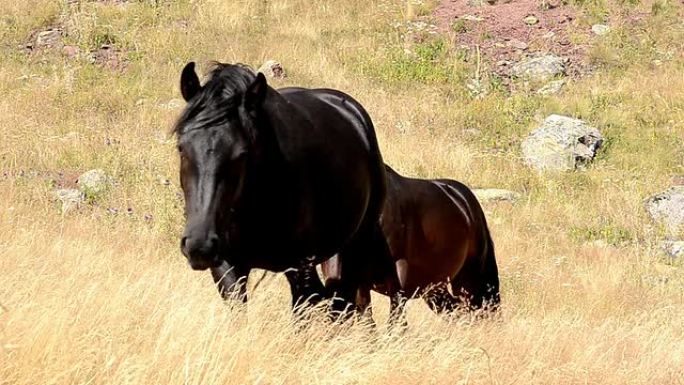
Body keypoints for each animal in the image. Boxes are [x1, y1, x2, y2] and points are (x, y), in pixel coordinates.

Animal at [174, 60, 388, 312]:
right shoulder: (227, 265)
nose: (199, 245)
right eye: (181, 147)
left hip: (355, 246)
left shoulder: (299, 267)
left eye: (242, 155)